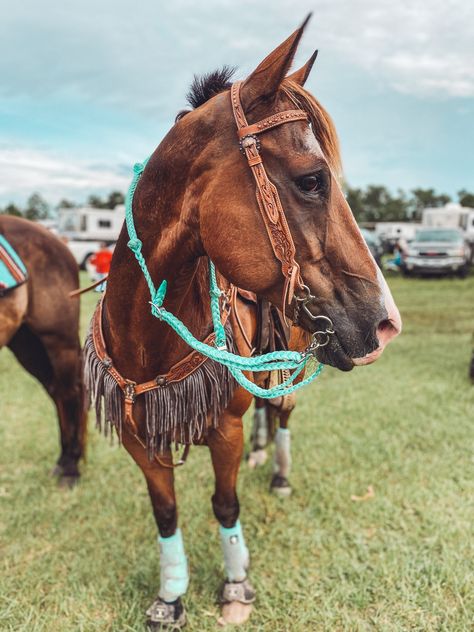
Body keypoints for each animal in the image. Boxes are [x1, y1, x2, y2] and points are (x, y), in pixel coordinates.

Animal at [84, 17, 400, 628]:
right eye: (311, 180)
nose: (386, 323)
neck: (148, 337)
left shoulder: (222, 428)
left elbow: (225, 503)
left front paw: (234, 585)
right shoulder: (139, 435)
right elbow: (166, 512)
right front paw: (171, 595)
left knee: (283, 412)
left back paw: (276, 471)